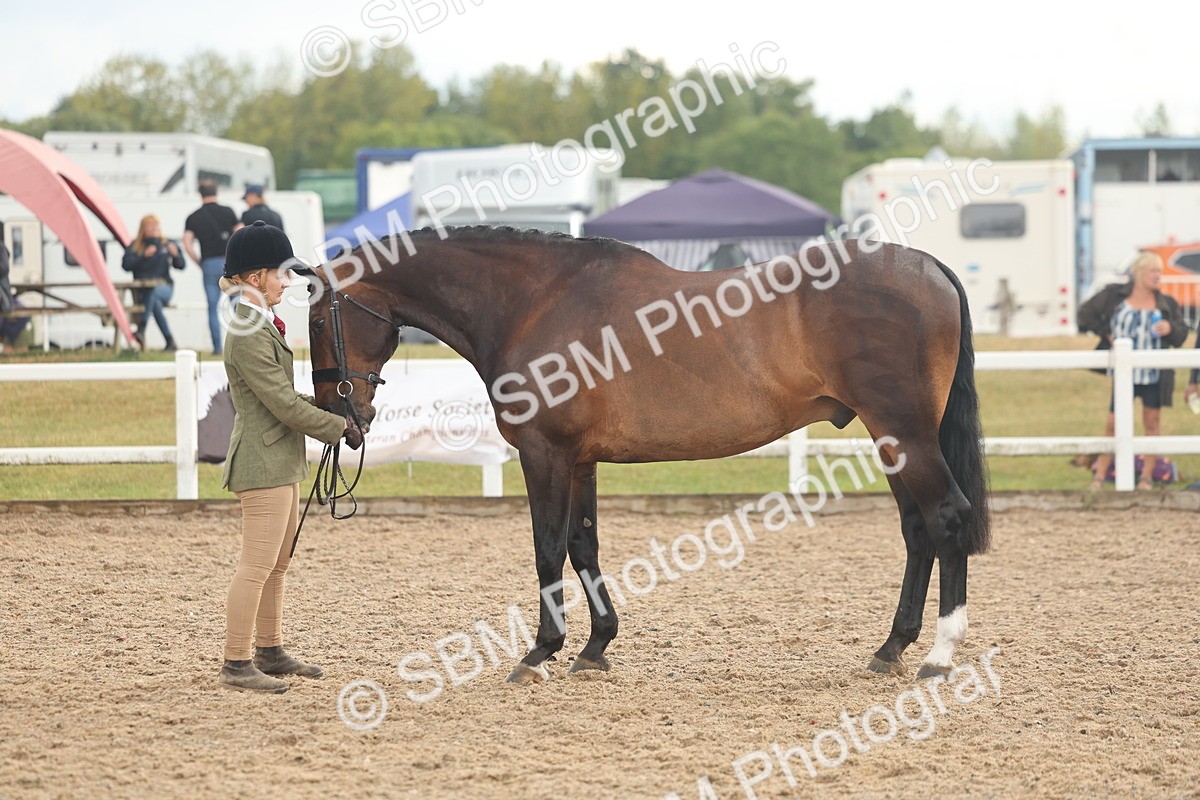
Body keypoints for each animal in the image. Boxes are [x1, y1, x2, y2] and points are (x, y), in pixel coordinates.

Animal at [297, 226, 990, 684]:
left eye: (317, 320)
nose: (340, 415)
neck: (536, 301)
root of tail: (929, 267)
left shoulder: (544, 455)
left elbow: (547, 546)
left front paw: (540, 651)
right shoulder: (579, 460)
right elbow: (584, 544)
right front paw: (594, 647)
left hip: (904, 434)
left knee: (947, 519)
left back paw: (938, 656)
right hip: (892, 440)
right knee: (917, 530)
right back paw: (891, 648)